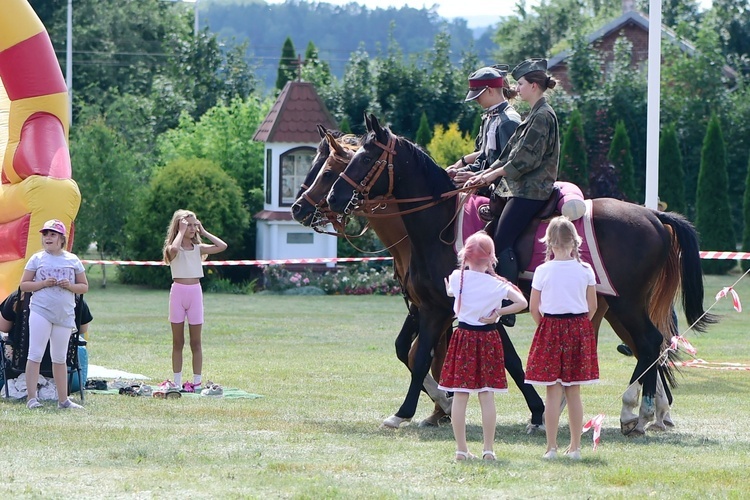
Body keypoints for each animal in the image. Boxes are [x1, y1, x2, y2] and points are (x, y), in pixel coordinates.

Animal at [328, 113, 716, 434]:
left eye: (366, 159)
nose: (332, 199)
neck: (439, 227)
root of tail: (653, 216)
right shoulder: (435, 308)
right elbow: (424, 356)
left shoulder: (454, 310)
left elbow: (448, 358)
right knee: (651, 347)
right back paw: (639, 412)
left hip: (627, 303)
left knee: (650, 343)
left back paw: (639, 410)